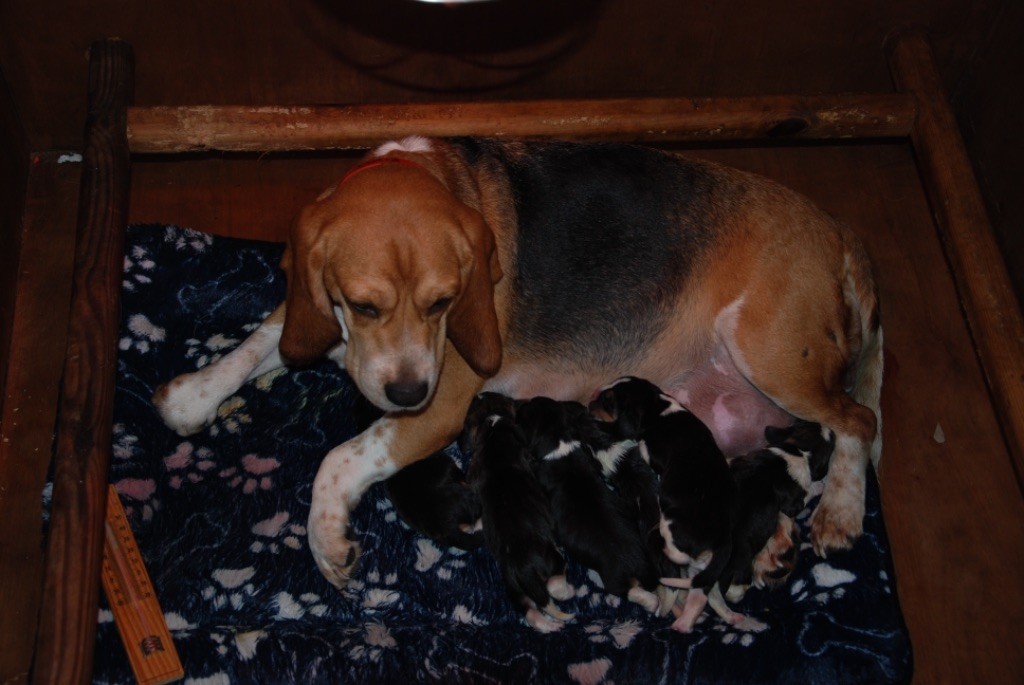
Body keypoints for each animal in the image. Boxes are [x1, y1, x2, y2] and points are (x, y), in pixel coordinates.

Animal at [151, 133, 880, 589]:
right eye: (361, 305)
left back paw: (841, 512)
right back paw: (775, 544)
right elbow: (259, 340)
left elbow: (337, 460)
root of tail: (840, 233)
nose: (408, 390)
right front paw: (194, 394)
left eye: (445, 301)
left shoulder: (441, 408)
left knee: (858, 419)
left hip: (771, 351)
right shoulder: (311, 310)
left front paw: (325, 539)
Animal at [464, 389, 577, 630]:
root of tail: (521, 568)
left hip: (513, 588)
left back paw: (550, 626)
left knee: (530, 611)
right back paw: (568, 593)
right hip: (552, 560)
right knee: (553, 587)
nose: (480, 393)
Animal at [516, 395, 659, 614]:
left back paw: (650, 602)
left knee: (629, 592)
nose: (520, 404)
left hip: (613, 580)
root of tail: (635, 564)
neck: (558, 440)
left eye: (528, 409)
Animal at [589, 374, 741, 630]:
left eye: (608, 401)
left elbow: (638, 446)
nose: (590, 401)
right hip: (703, 569)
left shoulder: (649, 452)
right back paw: (688, 623)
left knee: (677, 554)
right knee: (701, 595)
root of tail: (724, 537)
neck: (657, 408)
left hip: (670, 522)